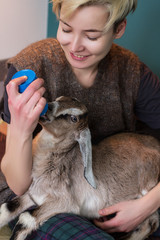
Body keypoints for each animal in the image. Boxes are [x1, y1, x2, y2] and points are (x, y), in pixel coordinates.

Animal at [0, 96, 160, 240]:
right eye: (59, 98)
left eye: (73, 118)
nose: (48, 107)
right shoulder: (33, 194)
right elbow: (7, 208)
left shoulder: (65, 201)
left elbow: (26, 219)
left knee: (151, 222)